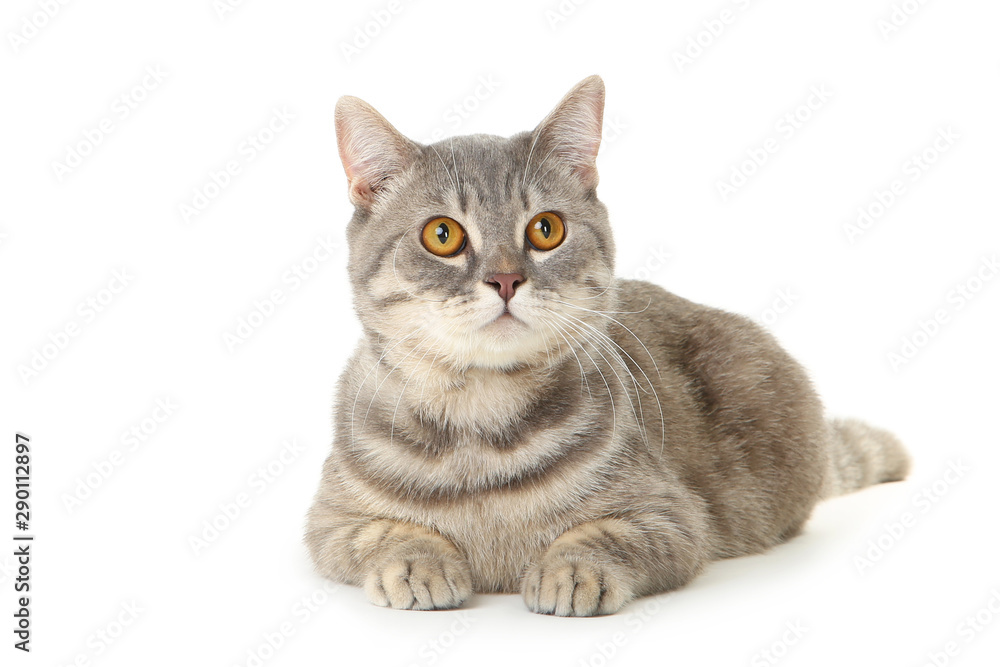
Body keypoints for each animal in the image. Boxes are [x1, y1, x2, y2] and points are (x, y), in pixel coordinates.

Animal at [302, 73, 908, 616]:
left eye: (546, 229)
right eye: (442, 235)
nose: (505, 279)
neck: (481, 416)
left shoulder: (673, 515)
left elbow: (605, 535)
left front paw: (572, 570)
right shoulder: (328, 521)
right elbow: (382, 534)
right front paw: (415, 561)